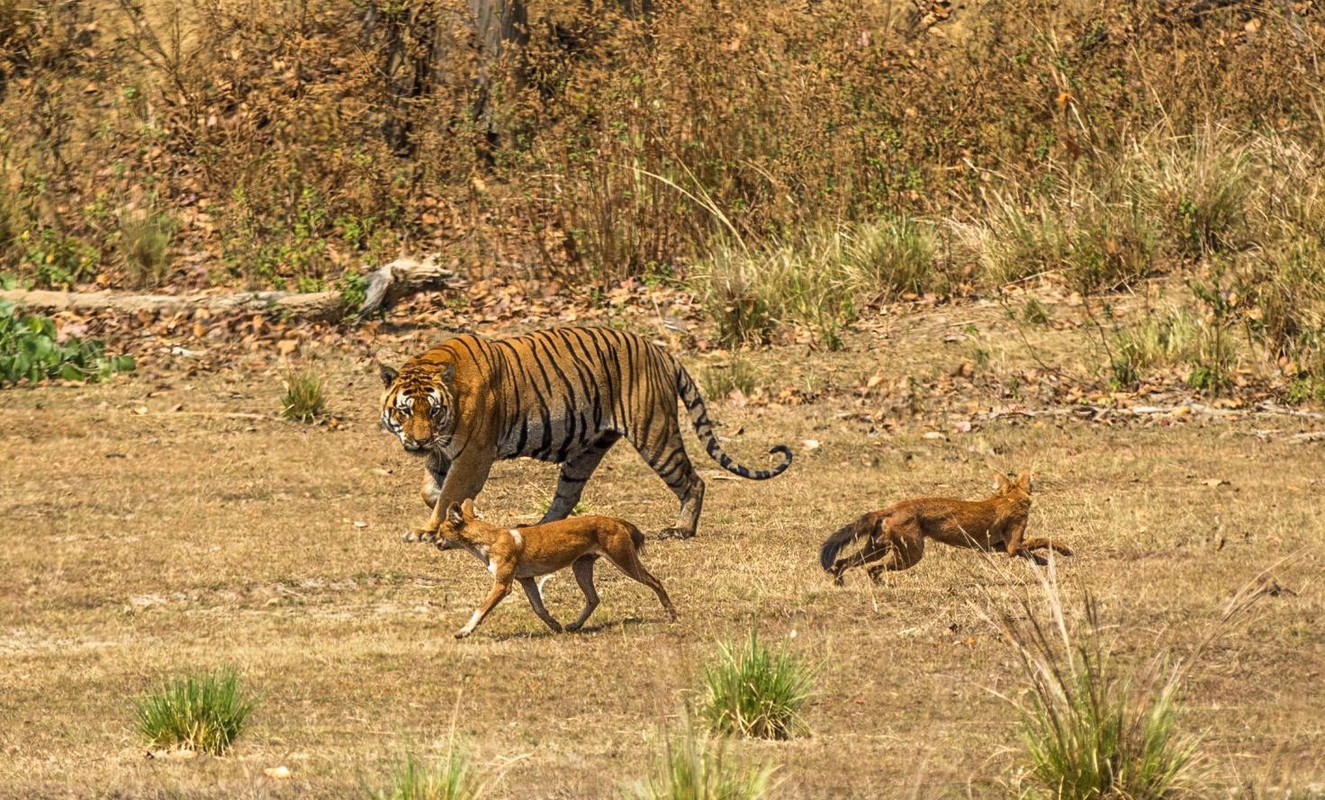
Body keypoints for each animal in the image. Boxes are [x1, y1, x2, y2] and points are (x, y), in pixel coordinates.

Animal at [373, 323, 789, 537]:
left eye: (433, 411)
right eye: (405, 412)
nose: (419, 441)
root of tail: (658, 350)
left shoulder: (474, 453)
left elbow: (448, 493)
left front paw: (431, 528)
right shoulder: (443, 452)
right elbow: (433, 491)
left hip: (654, 433)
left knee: (693, 480)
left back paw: (681, 529)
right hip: (587, 450)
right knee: (567, 494)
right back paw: (539, 526)